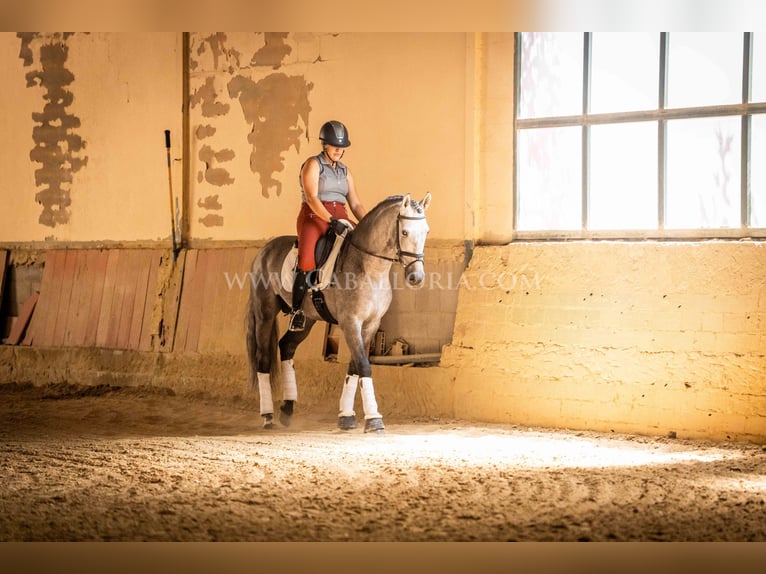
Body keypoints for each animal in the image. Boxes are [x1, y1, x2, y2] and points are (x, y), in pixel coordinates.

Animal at [249, 192, 436, 432]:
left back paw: (287, 409)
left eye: (426, 231)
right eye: (404, 232)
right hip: (264, 313)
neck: (369, 268)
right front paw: (373, 418)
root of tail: (265, 249)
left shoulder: (370, 324)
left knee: (287, 346)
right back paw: (268, 415)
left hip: (307, 319)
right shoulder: (350, 322)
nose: (416, 277)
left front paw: (346, 415)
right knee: (263, 358)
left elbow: (355, 365)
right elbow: (364, 365)